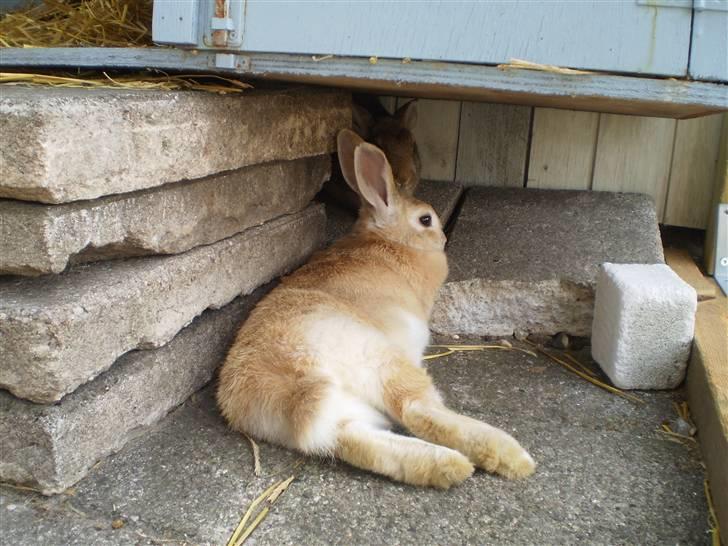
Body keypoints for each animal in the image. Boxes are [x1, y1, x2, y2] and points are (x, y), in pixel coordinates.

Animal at [216, 129, 536, 488]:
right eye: (426, 219)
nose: (441, 239)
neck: (388, 239)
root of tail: (292, 385)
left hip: (345, 415)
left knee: (356, 441)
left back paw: (446, 467)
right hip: (382, 360)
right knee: (416, 409)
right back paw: (508, 456)